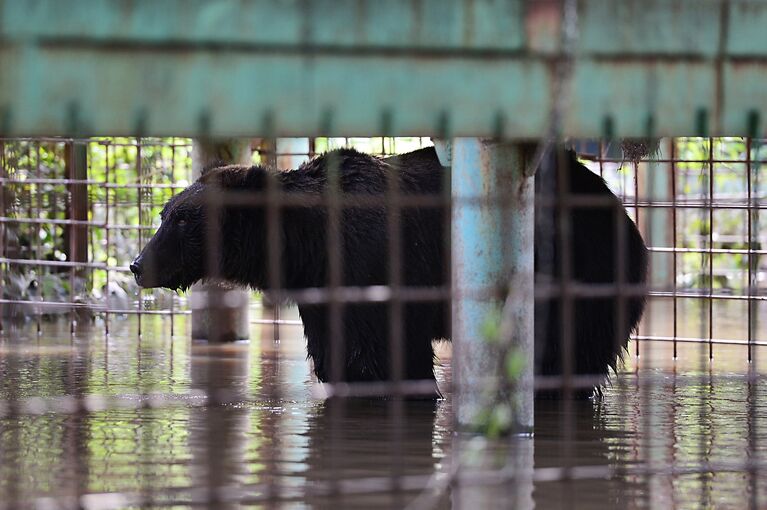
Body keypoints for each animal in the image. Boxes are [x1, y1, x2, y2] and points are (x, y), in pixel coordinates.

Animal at [130, 145, 648, 396]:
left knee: (567, 350)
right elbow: (341, 354)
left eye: (181, 219)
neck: (307, 241)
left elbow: (384, 355)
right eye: (164, 214)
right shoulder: (323, 287)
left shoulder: (373, 264)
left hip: (585, 268)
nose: (137, 265)